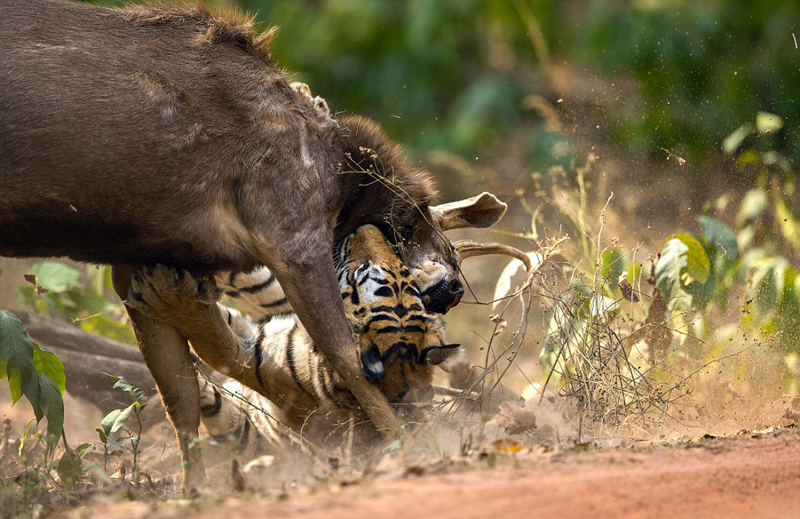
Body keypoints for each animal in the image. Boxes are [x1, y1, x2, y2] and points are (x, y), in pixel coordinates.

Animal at [128, 224, 465, 452]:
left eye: (360, 276)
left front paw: (169, 295)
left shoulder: (251, 355)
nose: (367, 226)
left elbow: (213, 335)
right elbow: (255, 277)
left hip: (233, 424)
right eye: (404, 274)